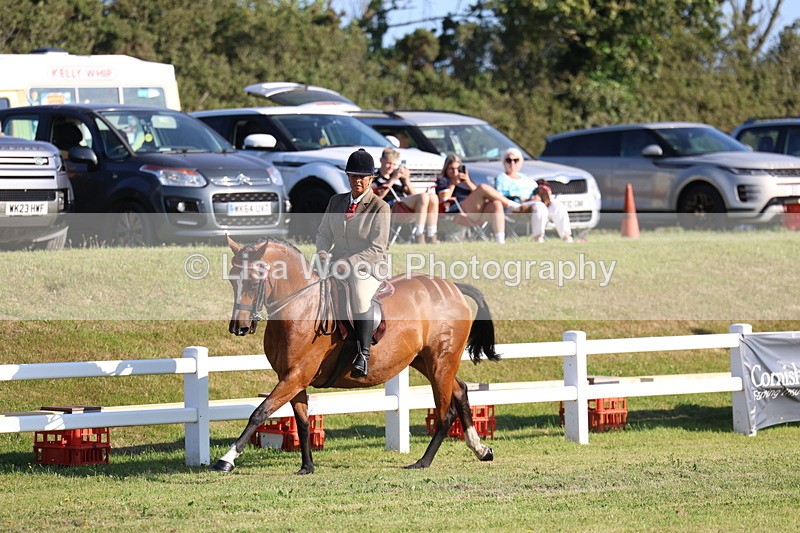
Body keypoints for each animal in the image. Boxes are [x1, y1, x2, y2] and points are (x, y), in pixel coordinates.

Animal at [213, 235, 500, 474]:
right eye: (231, 280)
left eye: (253, 281)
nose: (239, 327)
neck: (300, 307)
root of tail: (452, 287)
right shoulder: (292, 377)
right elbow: (303, 422)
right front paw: (307, 466)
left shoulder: (296, 376)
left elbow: (260, 412)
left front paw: (226, 459)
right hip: (426, 362)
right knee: (461, 390)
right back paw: (481, 449)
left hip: (441, 362)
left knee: (444, 413)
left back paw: (423, 461)